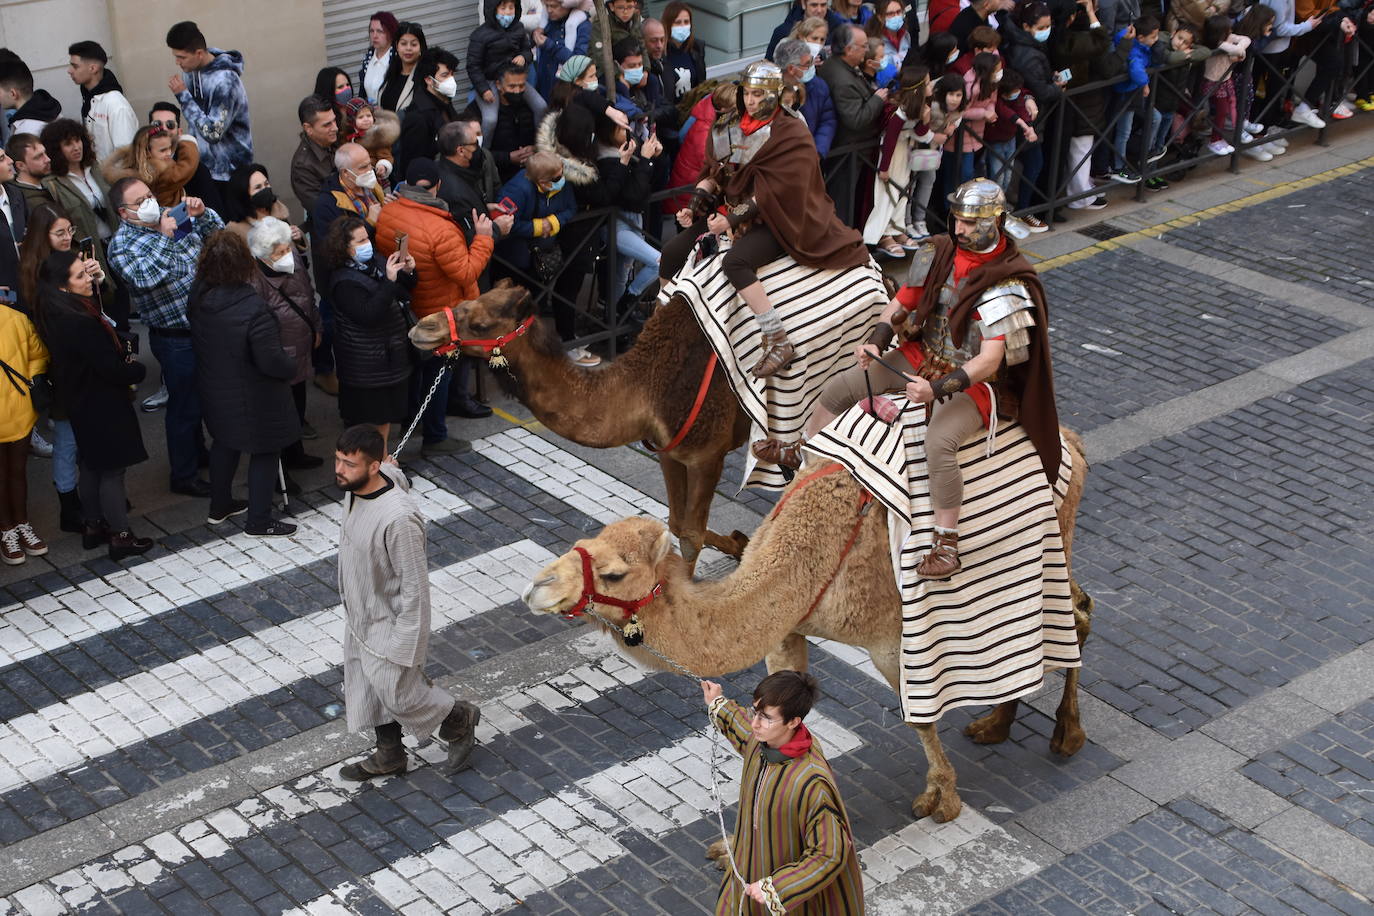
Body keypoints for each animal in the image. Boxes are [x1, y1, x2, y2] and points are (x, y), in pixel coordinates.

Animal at [406, 280, 752, 565]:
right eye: (467, 299)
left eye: (480, 324)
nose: (421, 328)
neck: (650, 388)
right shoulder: (669, 450)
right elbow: (677, 524)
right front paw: (740, 542)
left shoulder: (707, 454)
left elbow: (691, 536)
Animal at [522, 439, 1093, 829]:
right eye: (582, 543)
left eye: (615, 573)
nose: (537, 588)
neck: (804, 555)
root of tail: (1073, 443)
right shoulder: (787, 631)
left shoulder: (889, 639)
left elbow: (919, 719)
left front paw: (942, 799)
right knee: (1079, 610)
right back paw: (999, 723)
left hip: (1054, 542)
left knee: (1073, 618)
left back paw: (1065, 734)